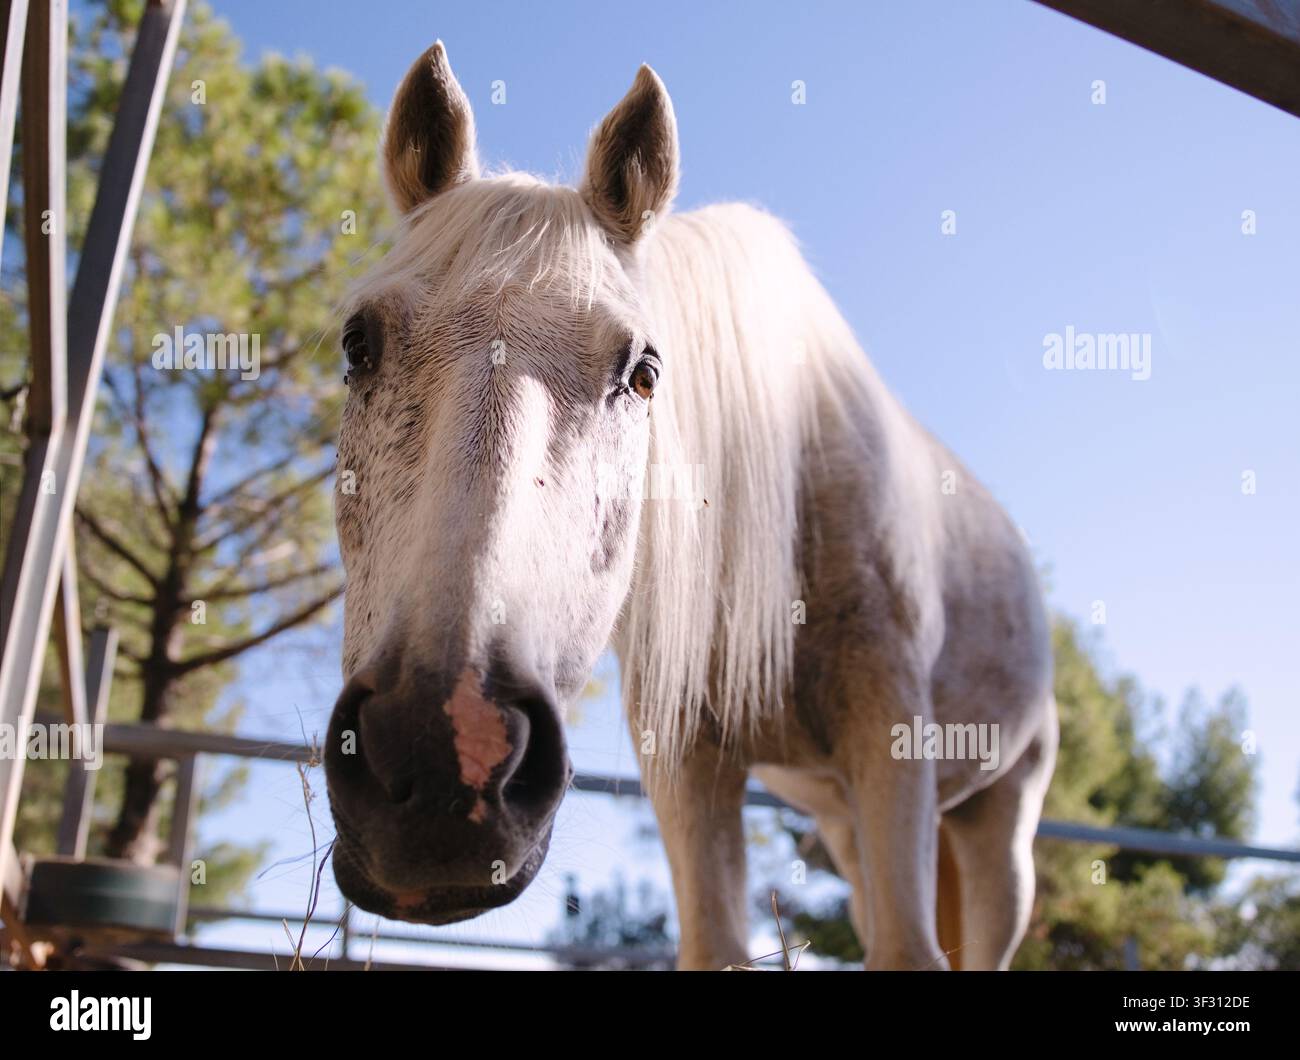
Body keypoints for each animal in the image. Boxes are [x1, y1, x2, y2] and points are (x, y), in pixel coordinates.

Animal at [323, 40, 1058, 971]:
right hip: (848, 824)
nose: (439, 755)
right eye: (358, 345)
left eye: (643, 373)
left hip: (999, 826)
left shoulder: (892, 733)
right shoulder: (686, 761)